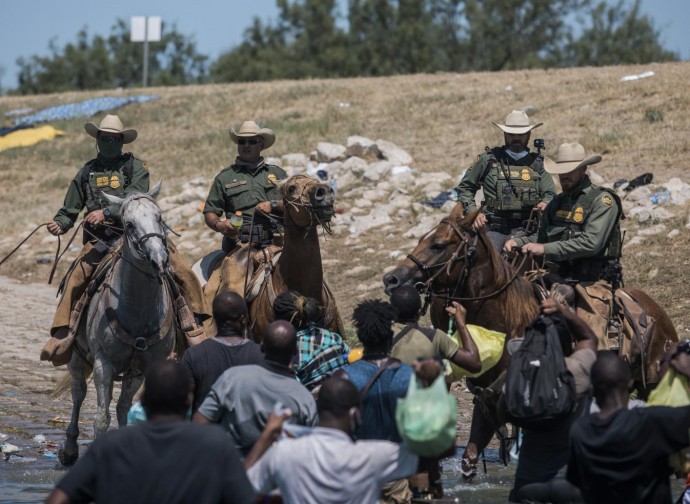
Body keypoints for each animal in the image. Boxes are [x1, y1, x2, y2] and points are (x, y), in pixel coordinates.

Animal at [57, 181, 177, 464]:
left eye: (159, 217)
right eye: (129, 223)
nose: (159, 259)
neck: (138, 310)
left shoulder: (144, 368)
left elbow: (124, 409)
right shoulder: (104, 364)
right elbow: (102, 419)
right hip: (76, 357)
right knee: (78, 393)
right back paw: (69, 449)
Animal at [382, 202, 676, 476]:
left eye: (438, 245)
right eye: (422, 239)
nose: (391, 279)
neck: (508, 324)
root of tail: (658, 313)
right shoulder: (486, 405)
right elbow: (470, 458)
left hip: (651, 384)